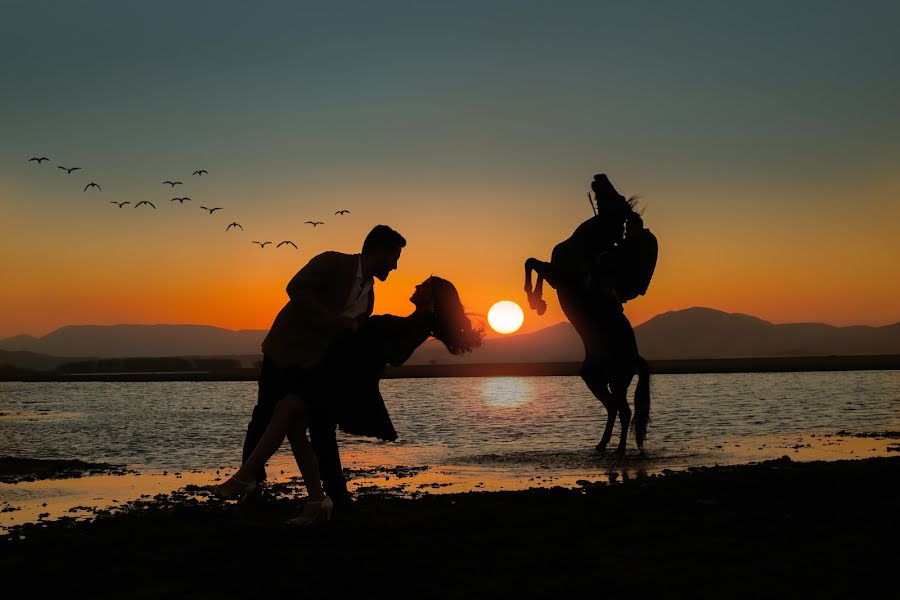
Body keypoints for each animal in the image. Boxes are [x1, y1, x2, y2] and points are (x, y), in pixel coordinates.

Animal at [524, 180, 652, 452]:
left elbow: (533, 263)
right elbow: (534, 263)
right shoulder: (555, 275)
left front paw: (534, 301)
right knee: (614, 408)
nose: (598, 177)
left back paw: (618, 449)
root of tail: (635, 358)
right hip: (594, 377)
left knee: (623, 410)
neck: (583, 244)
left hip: (614, 379)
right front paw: (538, 302)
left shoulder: (561, 276)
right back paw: (602, 445)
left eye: (617, 196)